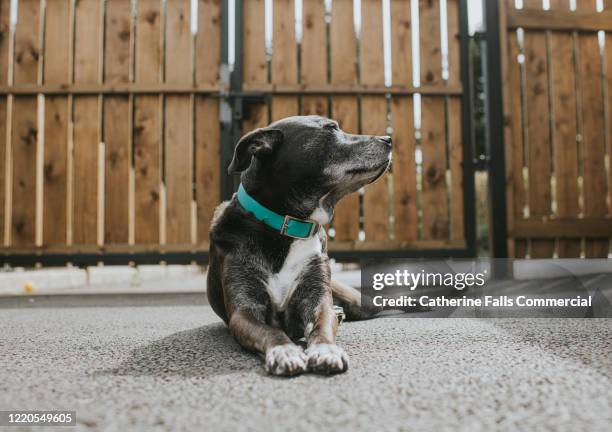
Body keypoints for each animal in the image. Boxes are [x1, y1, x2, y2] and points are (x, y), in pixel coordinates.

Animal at [207, 116, 392, 376]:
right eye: (331, 129)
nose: (388, 139)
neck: (286, 228)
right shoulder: (244, 312)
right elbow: (272, 331)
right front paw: (285, 350)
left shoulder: (318, 300)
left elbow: (321, 328)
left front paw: (326, 350)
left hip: (358, 301)